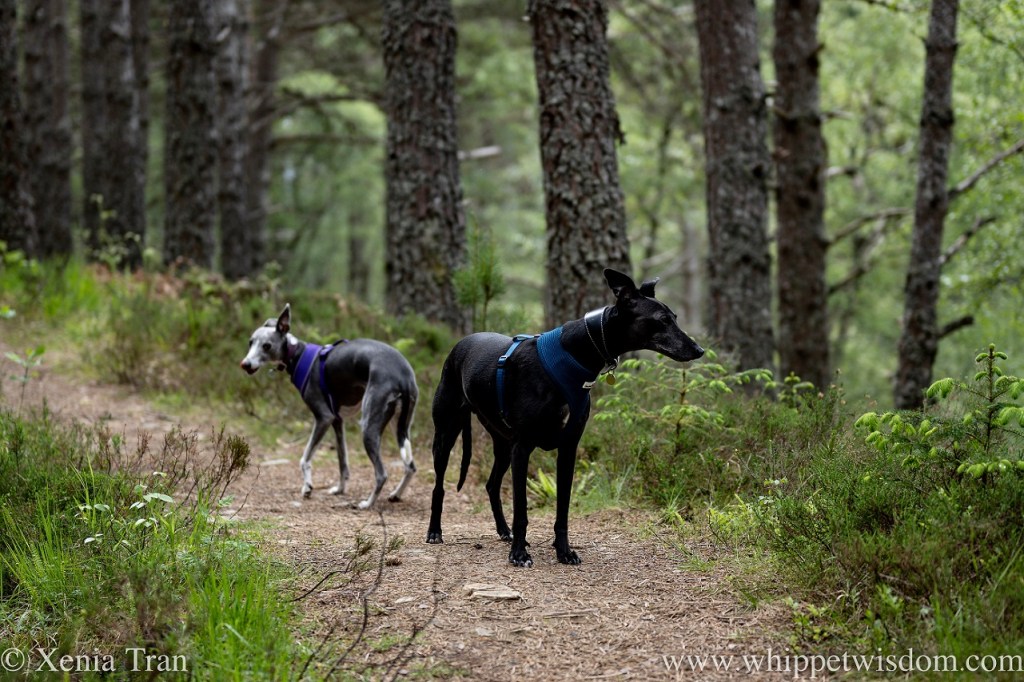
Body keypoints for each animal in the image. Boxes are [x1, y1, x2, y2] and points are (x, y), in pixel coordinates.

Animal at [240, 304, 419, 508]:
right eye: (250, 342)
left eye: (267, 345)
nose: (245, 364)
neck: (297, 353)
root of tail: (402, 376)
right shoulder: (337, 421)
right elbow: (343, 462)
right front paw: (339, 489)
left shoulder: (324, 417)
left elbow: (305, 457)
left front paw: (307, 487)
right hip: (400, 426)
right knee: (410, 466)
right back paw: (396, 494)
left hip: (369, 427)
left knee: (382, 474)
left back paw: (367, 503)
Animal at [426, 268, 704, 567]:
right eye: (662, 320)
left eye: (674, 317)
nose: (698, 350)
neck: (576, 355)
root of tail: (461, 343)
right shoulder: (523, 448)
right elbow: (522, 509)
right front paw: (519, 554)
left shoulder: (568, 448)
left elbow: (563, 509)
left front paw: (563, 551)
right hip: (446, 434)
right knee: (439, 486)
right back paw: (435, 531)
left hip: (502, 444)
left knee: (491, 484)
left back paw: (504, 531)